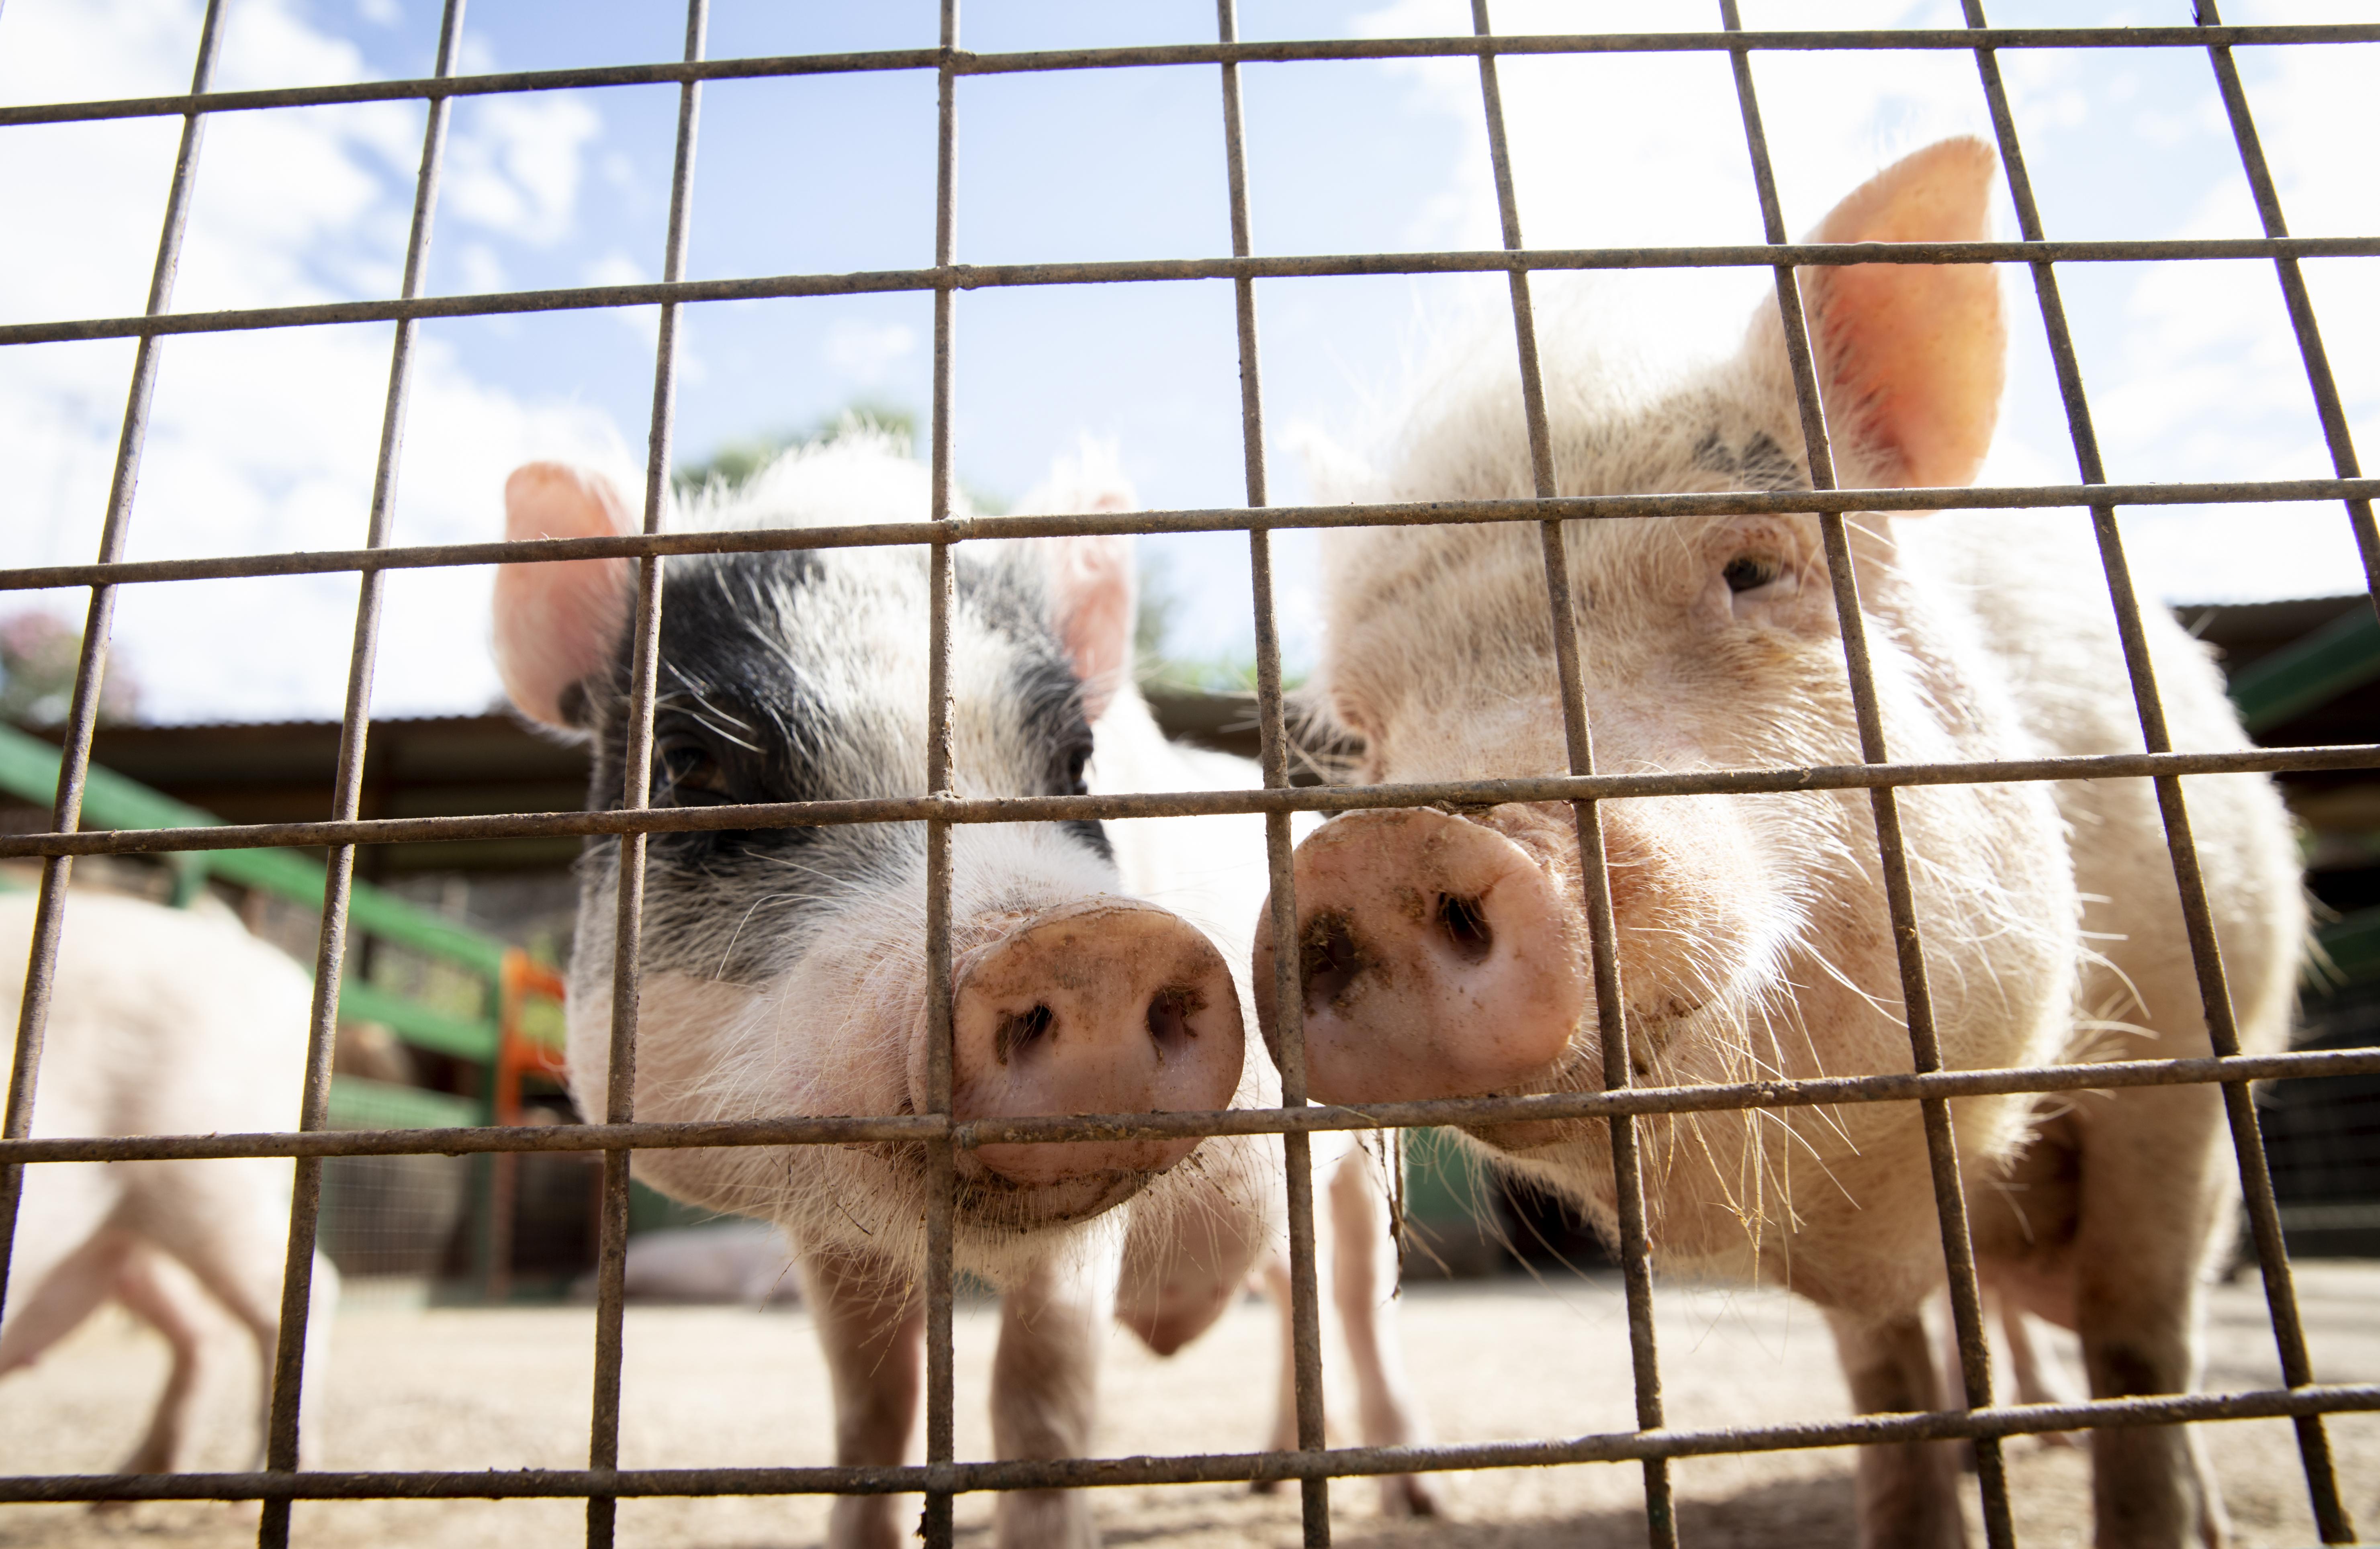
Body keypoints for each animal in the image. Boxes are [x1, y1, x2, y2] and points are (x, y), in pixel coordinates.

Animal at [0, 889, 340, 1483]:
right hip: (135, 1228)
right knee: (203, 1330)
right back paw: (120, 1490)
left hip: (205, 1182)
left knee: (306, 1291)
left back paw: (253, 1484)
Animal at [492, 436, 1432, 1548]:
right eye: (688, 763)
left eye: (1076, 763)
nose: (1089, 945)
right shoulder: (824, 1227)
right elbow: (869, 1403)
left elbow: (1039, 1391)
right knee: (1298, 1294)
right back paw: (1266, 1482)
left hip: (1361, 1150)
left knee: (1356, 1298)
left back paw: (1407, 1495)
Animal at [1260, 137, 2302, 1549]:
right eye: (1367, 733)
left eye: (1753, 568)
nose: (1377, 849)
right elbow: (1886, 1381)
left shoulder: (2193, 1050)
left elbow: (2143, 1348)